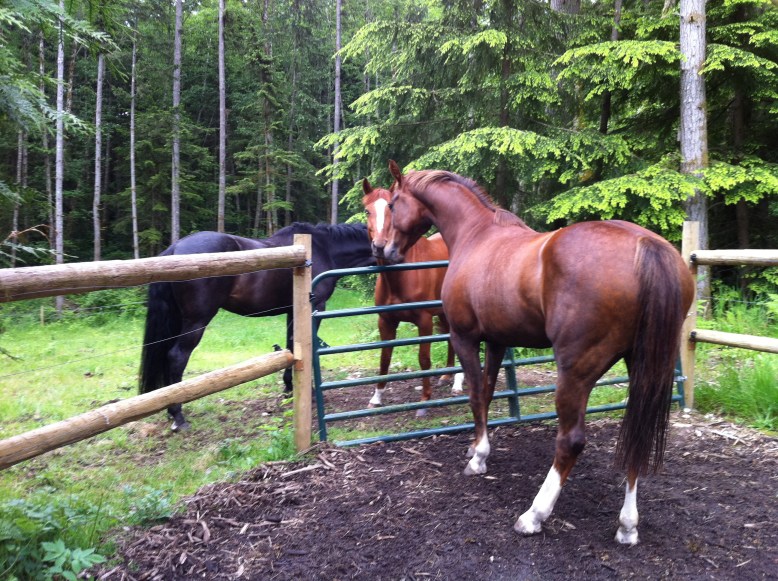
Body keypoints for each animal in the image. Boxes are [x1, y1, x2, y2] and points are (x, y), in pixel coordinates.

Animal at [139, 222, 376, 431]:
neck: (323, 248)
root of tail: (174, 249)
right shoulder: (314, 308)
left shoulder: (292, 311)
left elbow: (292, 345)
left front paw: (289, 387)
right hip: (196, 321)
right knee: (177, 357)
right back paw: (178, 416)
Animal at [362, 179, 464, 415]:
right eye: (367, 211)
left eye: (391, 208)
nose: (380, 246)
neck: (400, 276)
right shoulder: (385, 322)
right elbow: (385, 358)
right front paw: (376, 397)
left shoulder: (424, 321)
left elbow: (423, 359)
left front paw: (425, 400)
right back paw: (447, 376)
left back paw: (458, 383)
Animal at [381, 160, 694, 544]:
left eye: (392, 203)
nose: (387, 251)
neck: (477, 235)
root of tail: (645, 243)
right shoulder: (497, 340)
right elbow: (488, 392)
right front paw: (477, 447)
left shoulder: (465, 337)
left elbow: (474, 393)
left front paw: (477, 458)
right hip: (642, 366)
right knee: (636, 436)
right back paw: (627, 525)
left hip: (575, 373)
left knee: (570, 442)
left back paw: (534, 514)